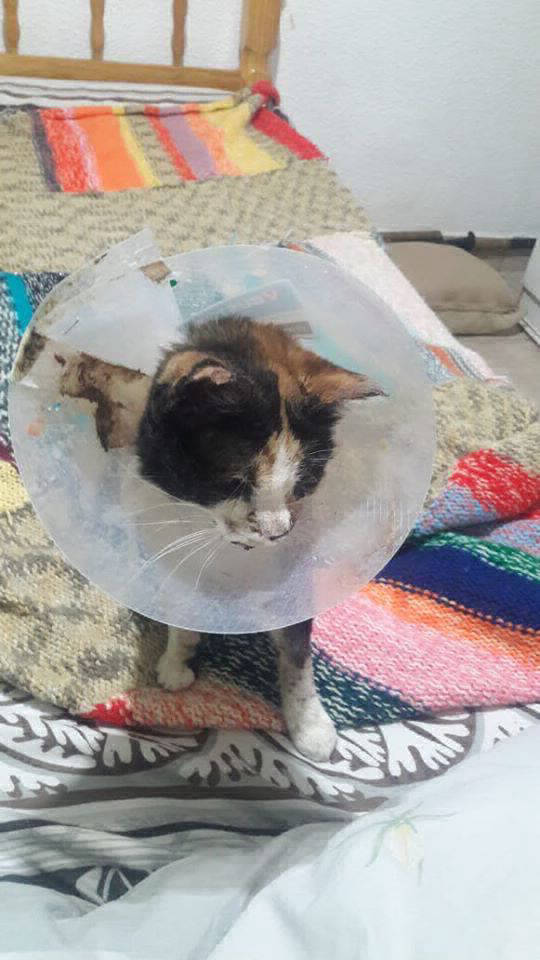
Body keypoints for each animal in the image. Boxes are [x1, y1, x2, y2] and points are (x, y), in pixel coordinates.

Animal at [137, 314, 383, 761]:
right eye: (235, 483)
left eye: (305, 484)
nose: (278, 532)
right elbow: (182, 608)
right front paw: (176, 662)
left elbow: (297, 649)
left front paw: (309, 723)